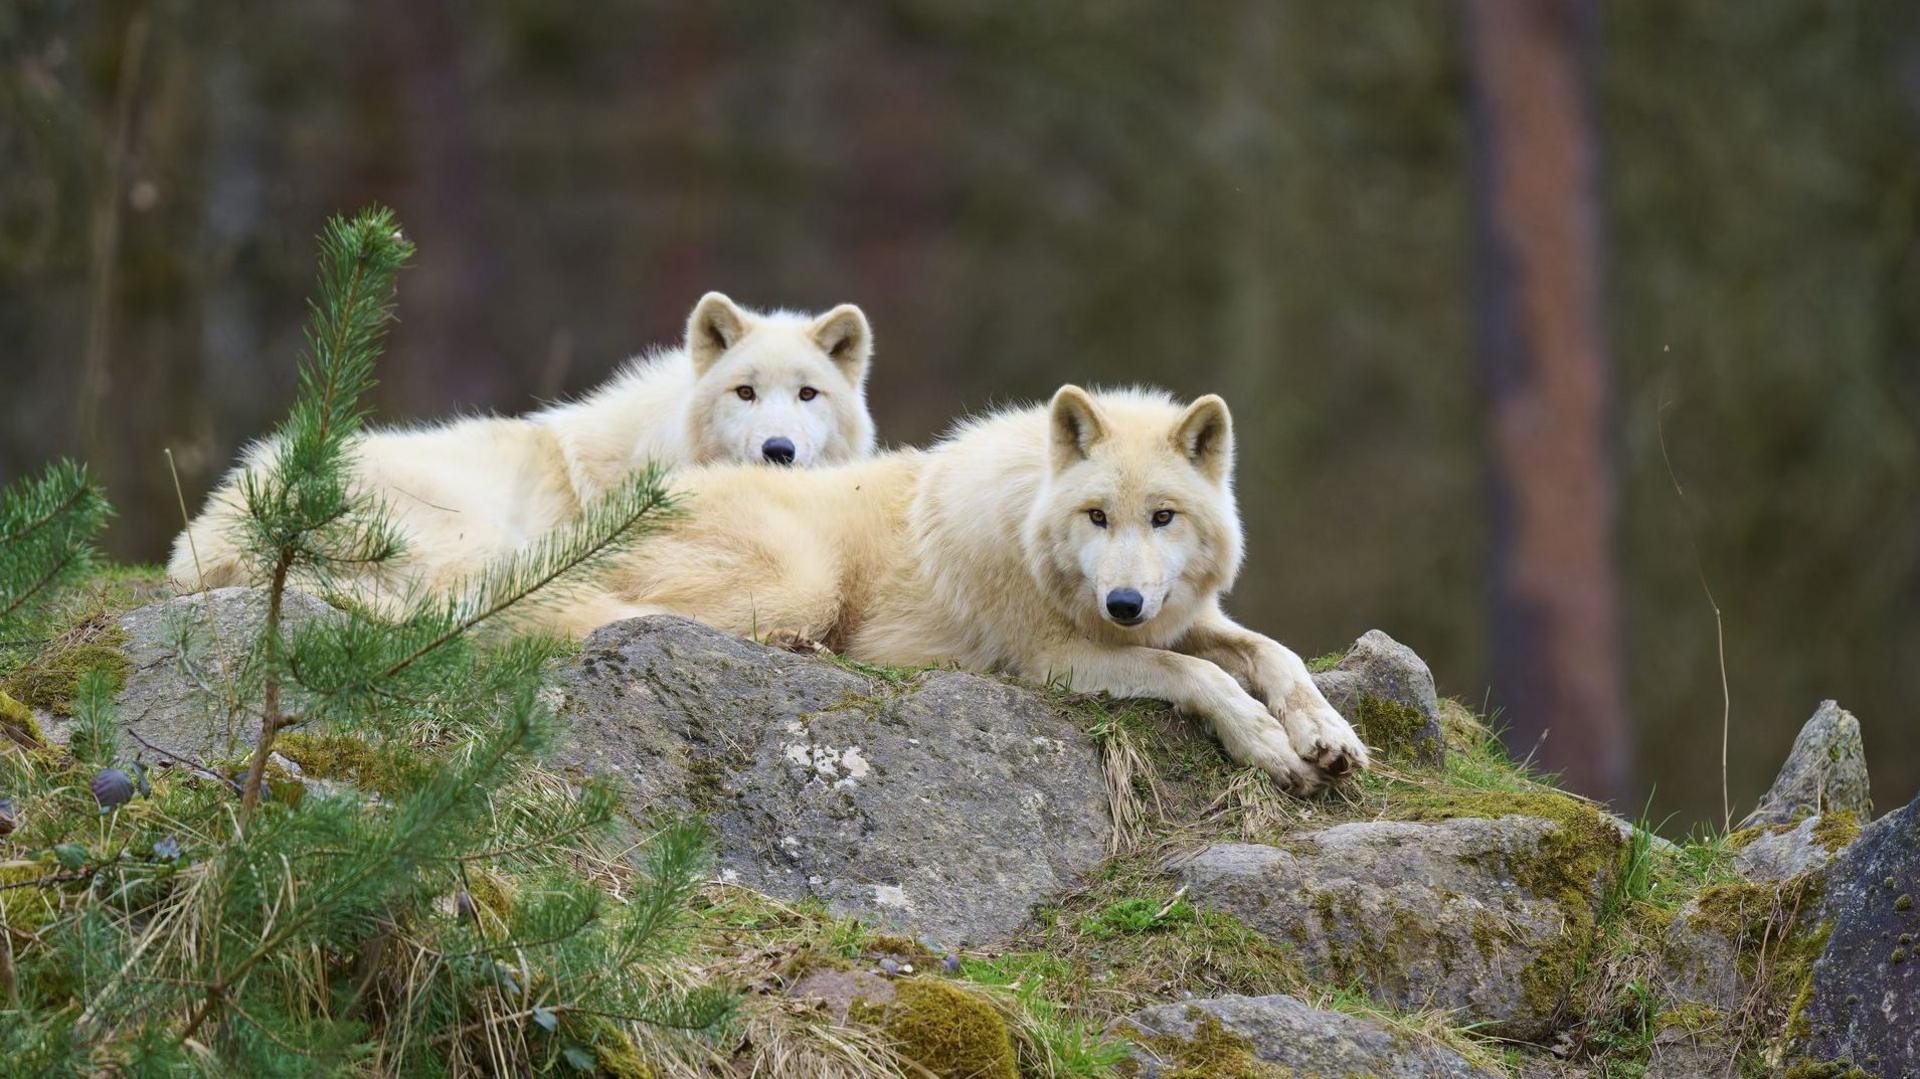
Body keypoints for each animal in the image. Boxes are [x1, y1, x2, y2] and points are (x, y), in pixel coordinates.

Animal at [558, 385, 1369, 792]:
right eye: (1097, 516)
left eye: (1163, 517)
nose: (1124, 604)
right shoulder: (1053, 659)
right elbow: (1197, 674)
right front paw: (1266, 744)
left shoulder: (1174, 618)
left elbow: (1273, 654)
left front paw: (1327, 733)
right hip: (803, 580)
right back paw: (802, 649)